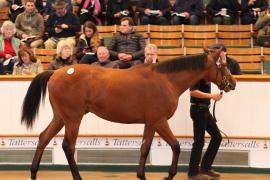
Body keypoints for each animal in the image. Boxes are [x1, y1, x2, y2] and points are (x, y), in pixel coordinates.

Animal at [21, 48, 236, 180]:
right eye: (223, 65)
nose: (232, 83)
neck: (166, 80)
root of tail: (56, 73)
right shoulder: (159, 121)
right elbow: (175, 146)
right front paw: (169, 174)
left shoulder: (151, 123)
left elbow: (145, 148)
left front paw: (142, 175)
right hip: (73, 119)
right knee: (68, 146)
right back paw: (77, 176)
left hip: (60, 118)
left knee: (43, 138)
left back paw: (33, 173)